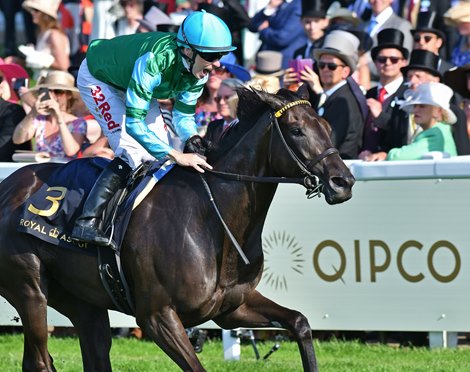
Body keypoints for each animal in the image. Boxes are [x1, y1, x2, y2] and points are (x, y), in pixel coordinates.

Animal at [0, 85, 354, 372]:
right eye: (296, 130)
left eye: (327, 127)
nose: (344, 182)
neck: (212, 219)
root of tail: (9, 186)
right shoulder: (158, 316)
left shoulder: (232, 307)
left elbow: (300, 322)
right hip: (30, 288)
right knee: (40, 359)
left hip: (82, 302)